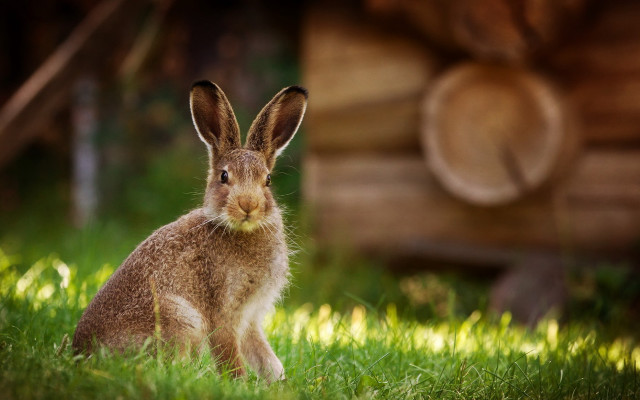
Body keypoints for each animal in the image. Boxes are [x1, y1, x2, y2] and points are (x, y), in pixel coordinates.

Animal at [72, 81, 308, 383]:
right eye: (224, 176)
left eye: (267, 180)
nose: (248, 205)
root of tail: (81, 354)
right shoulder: (223, 312)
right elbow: (229, 354)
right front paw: (238, 383)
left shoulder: (250, 317)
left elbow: (263, 355)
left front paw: (278, 382)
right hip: (181, 318)